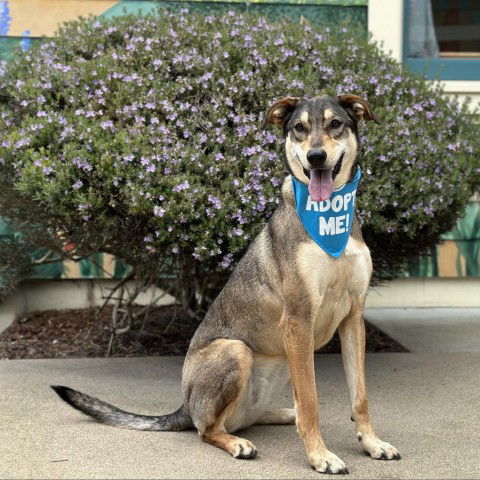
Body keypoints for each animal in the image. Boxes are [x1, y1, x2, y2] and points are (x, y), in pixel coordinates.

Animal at [51, 94, 402, 476]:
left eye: (335, 124)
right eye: (299, 128)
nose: (316, 157)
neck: (328, 219)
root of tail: (185, 404)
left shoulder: (352, 319)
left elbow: (360, 396)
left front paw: (372, 443)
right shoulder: (298, 319)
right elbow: (311, 402)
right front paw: (319, 456)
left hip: (283, 361)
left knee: (246, 417)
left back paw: (281, 414)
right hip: (237, 350)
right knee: (207, 429)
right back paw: (237, 442)